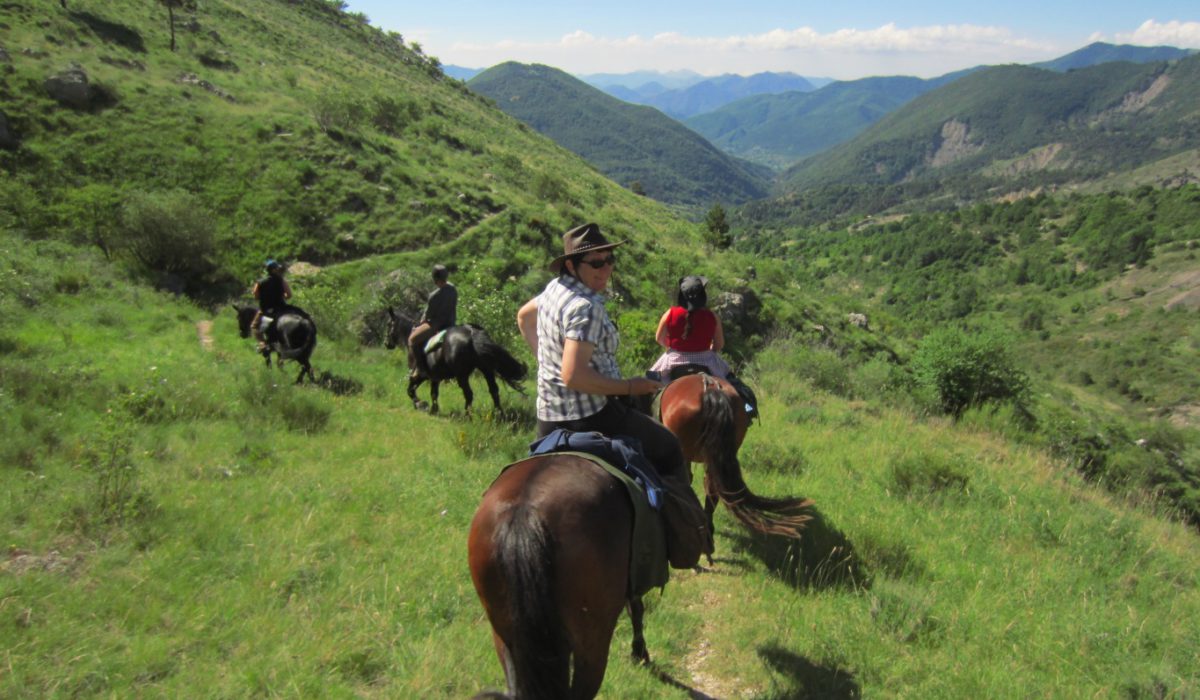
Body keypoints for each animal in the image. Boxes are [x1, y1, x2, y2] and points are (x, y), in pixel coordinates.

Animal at [384, 307, 525, 415]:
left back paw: (468, 416)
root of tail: (471, 332)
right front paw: (433, 410)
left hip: (462, 375)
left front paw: (421, 404)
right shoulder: (435, 377)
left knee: (469, 394)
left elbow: (410, 390)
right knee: (494, 390)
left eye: (388, 324)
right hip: (486, 370)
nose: (386, 344)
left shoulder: (420, 375)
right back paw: (499, 414)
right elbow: (434, 393)